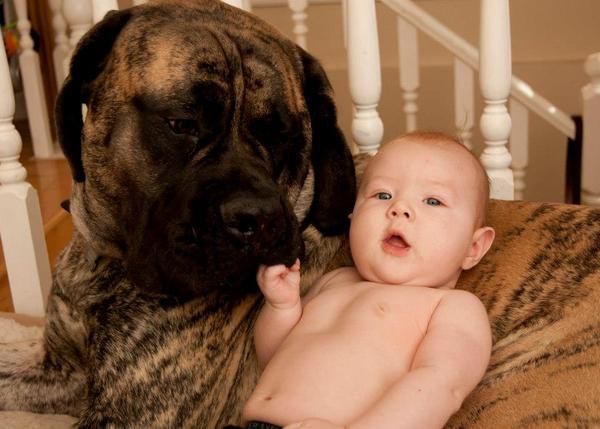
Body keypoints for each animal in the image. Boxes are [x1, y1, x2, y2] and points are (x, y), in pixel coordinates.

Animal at [0, 1, 356, 427]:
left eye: (281, 136)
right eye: (182, 124)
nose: (255, 218)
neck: (103, 262)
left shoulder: (127, 414)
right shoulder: (62, 370)